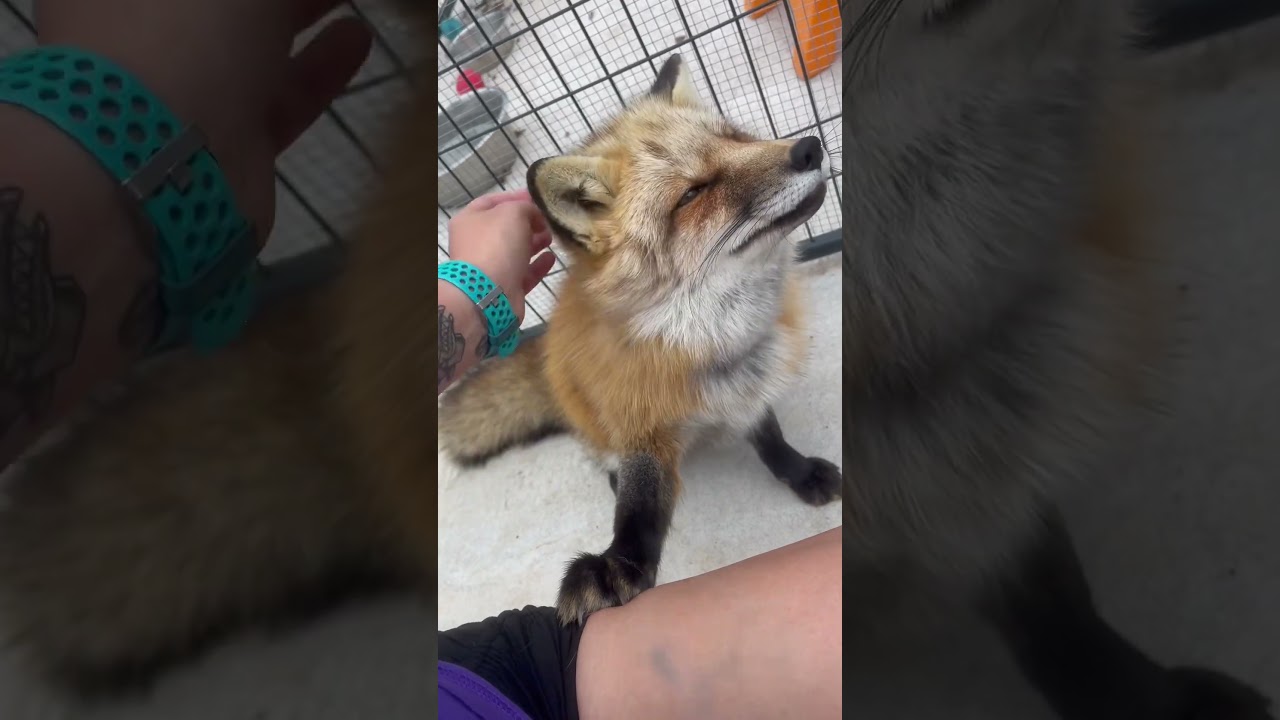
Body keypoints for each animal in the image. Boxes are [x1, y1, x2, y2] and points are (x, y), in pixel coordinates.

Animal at [438, 54, 841, 623]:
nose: (808, 148)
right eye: (693, 193)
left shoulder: (749, 385)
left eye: (736, 138)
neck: (709, 344)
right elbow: (640, 507)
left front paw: (799, 472)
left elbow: (771, 440)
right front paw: (618, 567)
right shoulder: (639, 422)